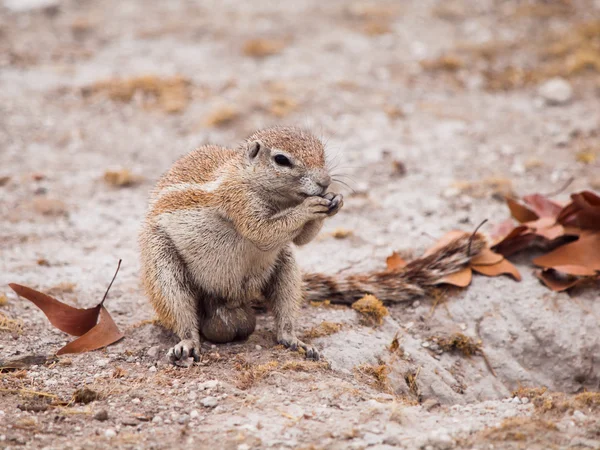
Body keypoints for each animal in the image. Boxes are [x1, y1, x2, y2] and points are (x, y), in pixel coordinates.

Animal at [138, 126, 340, 362]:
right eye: (281, 160)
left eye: (322, 152)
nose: (325, 182)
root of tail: (227, 299)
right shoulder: (238, 199)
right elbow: (261, 231)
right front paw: (309, 207)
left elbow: (301, 239)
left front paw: (335, 201)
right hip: (162, 264)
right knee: (180, 311)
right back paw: (187, 343)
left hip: (286, 266)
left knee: (285, 309)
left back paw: (293, 339)